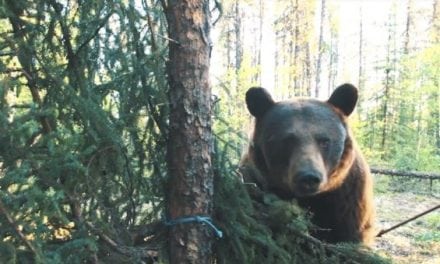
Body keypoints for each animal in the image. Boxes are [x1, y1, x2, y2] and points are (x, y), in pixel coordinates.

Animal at [241, 83, 374, 244]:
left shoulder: (348, 202)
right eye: (287, 140)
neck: (310, 199)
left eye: (324, 141)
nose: (308, 177)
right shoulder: (254, 184)